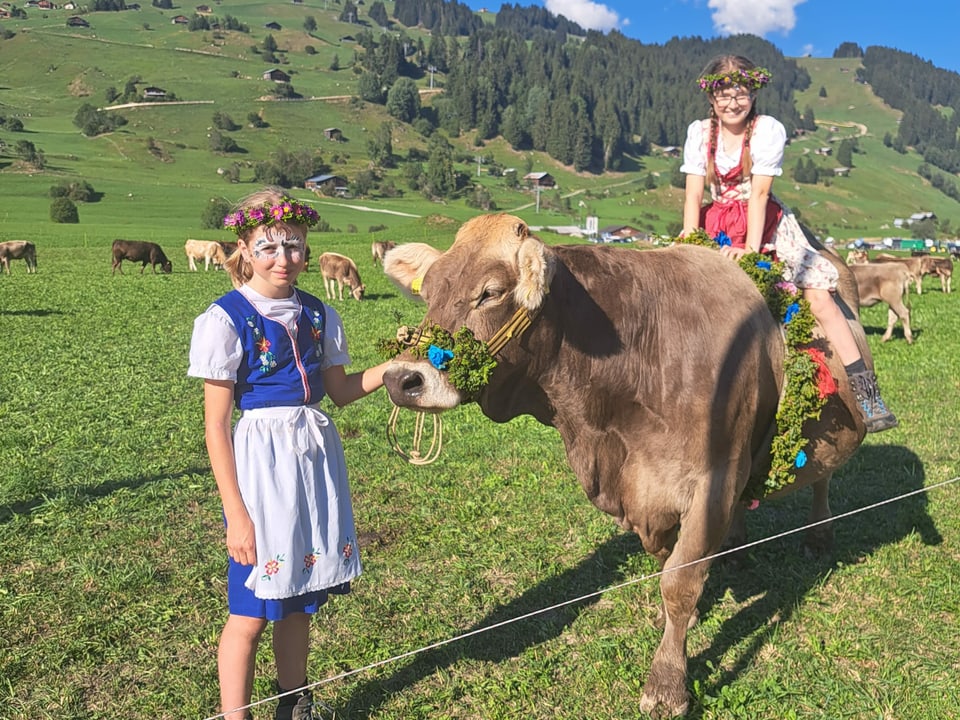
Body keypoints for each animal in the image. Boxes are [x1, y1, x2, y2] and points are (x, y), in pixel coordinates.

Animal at [382, 211, 872, 716]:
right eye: (428, 291)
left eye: (491, 292)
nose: (401, 379)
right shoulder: (645, 491)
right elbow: (667, 562)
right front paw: (684, 619)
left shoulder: (712, 480)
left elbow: (680, 581)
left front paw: (667, 684)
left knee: (823, 478)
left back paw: (818, 535)